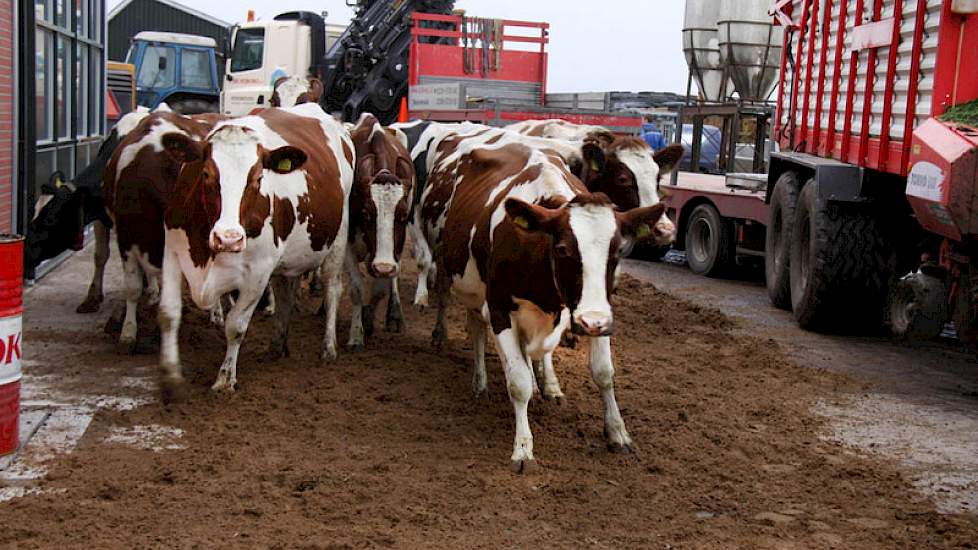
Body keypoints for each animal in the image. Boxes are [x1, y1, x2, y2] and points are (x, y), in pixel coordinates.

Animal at [152, 103, 350, 396]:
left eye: (257, 179)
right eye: (206, 174)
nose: (229, 238)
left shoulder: (258, 270)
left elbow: (236, 325)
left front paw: (225, 379)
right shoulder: (173, 253)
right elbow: (168, 313)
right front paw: (170, 377)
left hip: (338, 238)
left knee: (332, 288)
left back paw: (328, 348)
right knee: (285, 292)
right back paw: (277, 345)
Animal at [346, 114, 414, 352]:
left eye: (403, 215)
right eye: (366, 213)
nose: (383, 266)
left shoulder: (396, 246)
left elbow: (380, 289)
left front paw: (368, 319)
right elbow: (357, 288)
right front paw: (356, 335)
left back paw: (394, 314)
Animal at [416, 127, 668, 472]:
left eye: (615, 251)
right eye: (562, 250)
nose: (591, 322)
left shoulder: (597, 307)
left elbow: (604, 372)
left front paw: (618, 432)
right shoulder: (499, 308)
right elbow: (518, 381)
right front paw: (523, 448)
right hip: (450, 265)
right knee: (469, 322)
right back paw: (474, 374)